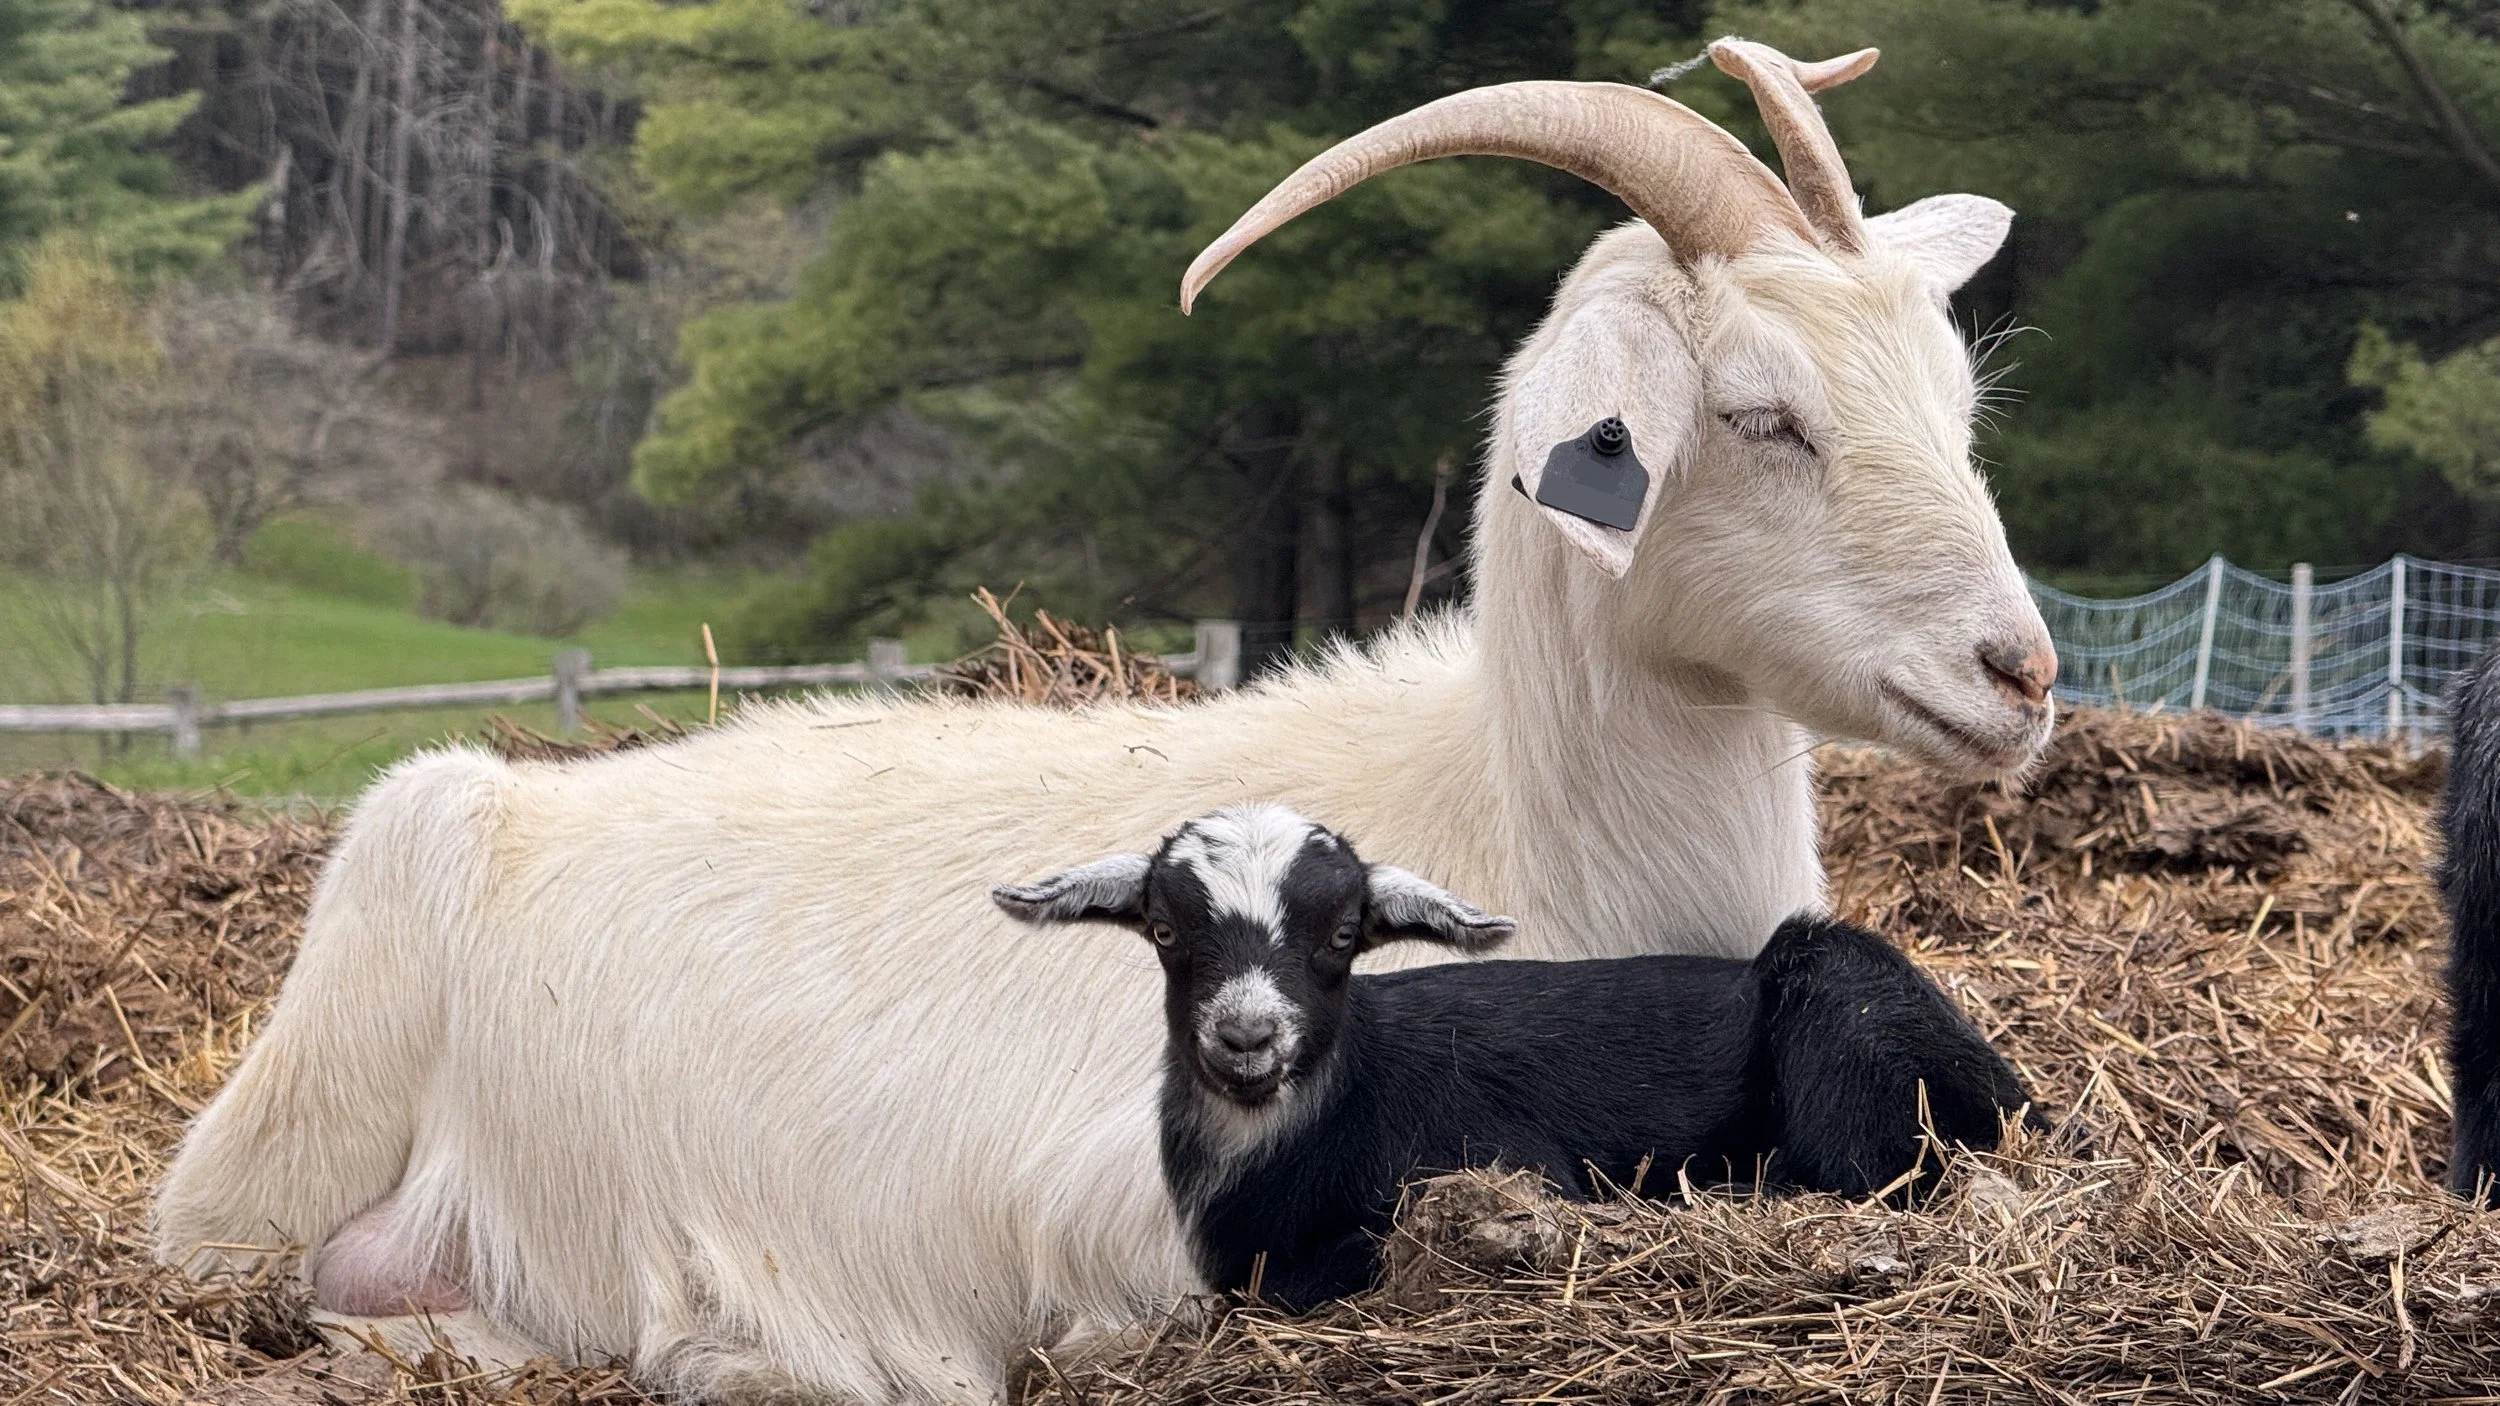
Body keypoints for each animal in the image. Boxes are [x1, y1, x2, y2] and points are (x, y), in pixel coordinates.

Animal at [997, 803, 2036, 1310]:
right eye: (1166, 929)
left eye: (1341, 935)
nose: (1246, 1036)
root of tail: (2017, 1092)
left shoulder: (1502, 1162)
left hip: (1842, 1018)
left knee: (1872, 1175)